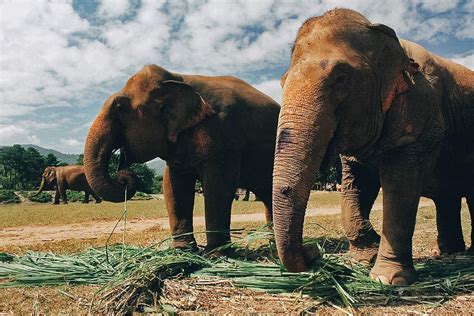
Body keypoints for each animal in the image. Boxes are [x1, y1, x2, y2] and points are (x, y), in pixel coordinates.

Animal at [83, 65, 280, 252]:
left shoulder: (225, 134)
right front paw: (182, 252)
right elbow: (173, 184)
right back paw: (273, 245)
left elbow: (218, 185)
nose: (123, 175)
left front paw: (215, 254)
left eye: (120, 109)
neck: (177, 78)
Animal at [272, 8, 472, 286]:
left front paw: (387, 279)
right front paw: (366, 257)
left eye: (340, 78)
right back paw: (446, 253)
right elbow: (355, 188)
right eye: (281, 82)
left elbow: (400, 189)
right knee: (447, 196)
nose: (313, 251)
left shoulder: (419, 111)